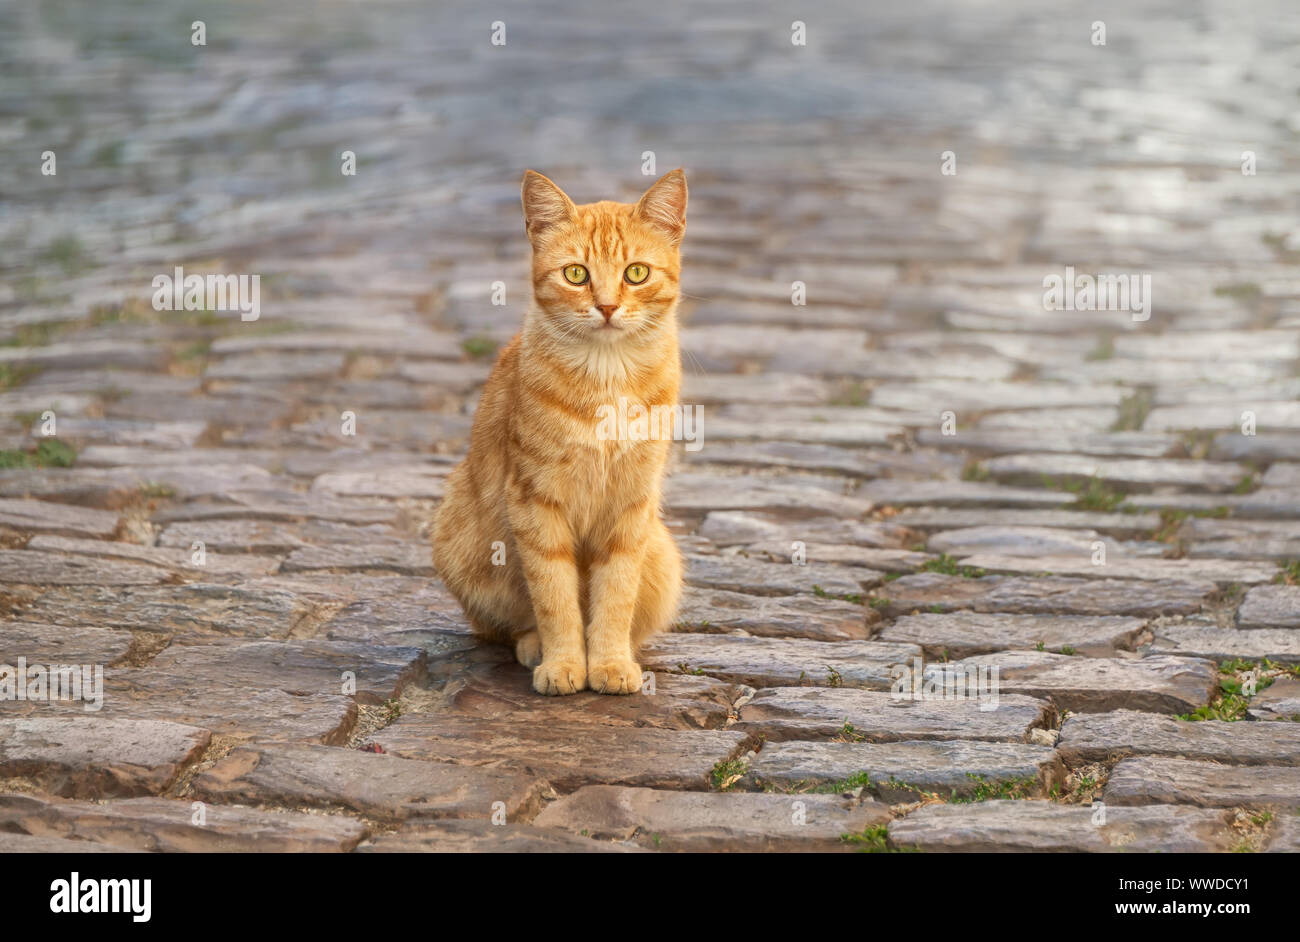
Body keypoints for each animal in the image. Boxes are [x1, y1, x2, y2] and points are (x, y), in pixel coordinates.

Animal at [431, 168, 686, 696]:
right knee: (506, 625)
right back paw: (533, 646)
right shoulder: (535, 501)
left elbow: (615, 594)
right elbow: (554, 596)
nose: (607, 307)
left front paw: (609, 662)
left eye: (636, 273)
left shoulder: (632, 504)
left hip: (663, 555)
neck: (608, 376)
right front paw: (566, 662)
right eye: (576, 274)